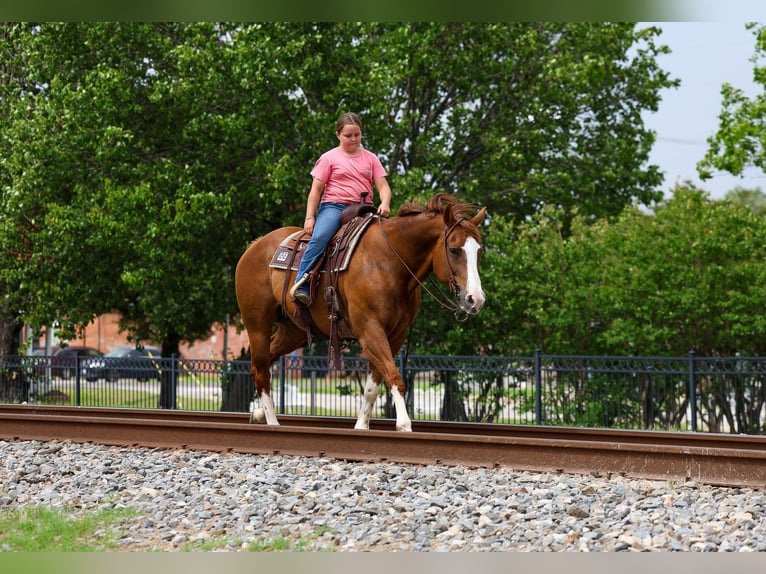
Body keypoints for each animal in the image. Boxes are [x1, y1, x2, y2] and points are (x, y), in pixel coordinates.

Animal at [235, 193, 487, 431]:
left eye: (479, 251)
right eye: (454, 250)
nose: (476, 299)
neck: (390, 263)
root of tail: (254, 246)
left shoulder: (395, 335)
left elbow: (372, 386)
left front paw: (362, 426)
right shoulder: (370, 329)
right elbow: (394, 376)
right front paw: (404, 424)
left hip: (293, 331)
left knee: (262, 364)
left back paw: (259, 414)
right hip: (257, 325)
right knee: (261, 371)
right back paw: (272, 422)